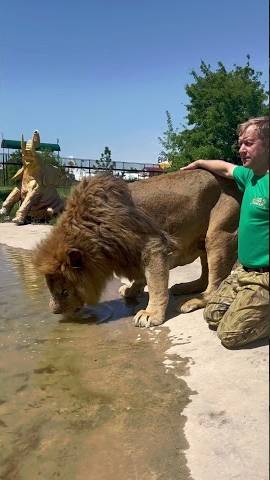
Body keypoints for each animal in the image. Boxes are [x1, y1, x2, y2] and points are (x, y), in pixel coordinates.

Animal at [32, 171, 242, 328]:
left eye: (64, 292)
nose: (54, 311)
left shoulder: (154, 245)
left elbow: (156, 284)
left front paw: (151, 313)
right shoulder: (132, 253)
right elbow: (142, 277)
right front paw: (131, 289)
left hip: (218, 235)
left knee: (214, 285)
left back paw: (194, 301)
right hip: (203, 240)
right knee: (205, 277)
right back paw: (186, 287)